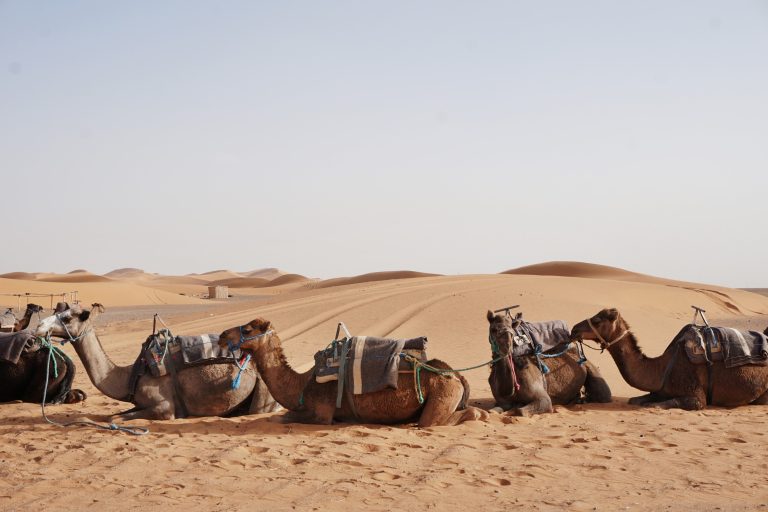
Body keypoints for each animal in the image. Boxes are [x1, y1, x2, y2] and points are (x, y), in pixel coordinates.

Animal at [35, 303, 280, 420]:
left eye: (67, 318)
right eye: (57, 310)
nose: (39, 327)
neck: (130, 375)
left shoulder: (165, 407)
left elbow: (117, 418)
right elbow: (114, 415)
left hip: (263, 392)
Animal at [217, 318, 489, 426]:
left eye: (248, 329)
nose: (221, 335)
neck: (302, 384)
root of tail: (457, 375)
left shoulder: (322, 414)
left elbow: (284, 417)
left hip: (442, 394)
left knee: (455, 416)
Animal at [571, 308, 768, 410]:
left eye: (597, 320)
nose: (574, 329)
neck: (663, 366)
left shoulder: (696, 397)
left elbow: (656, 406)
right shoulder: (660, 389)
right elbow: (635, 400)